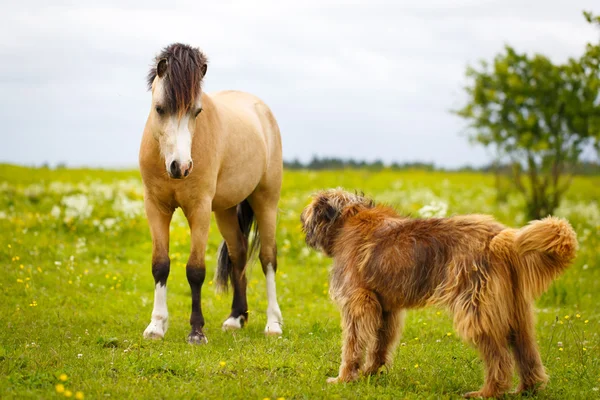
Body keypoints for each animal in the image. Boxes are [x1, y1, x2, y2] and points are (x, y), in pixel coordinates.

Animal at [138, 43, 284, 344]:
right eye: (160, 108)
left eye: (196, 112)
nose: (181, 167)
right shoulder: (155, 207)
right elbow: (160, 265)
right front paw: (156, 325)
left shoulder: (199, 209)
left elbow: (195, 271)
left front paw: (196, 331)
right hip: (226, 211)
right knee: (239, 254)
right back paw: (236, 318)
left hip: (266, 202)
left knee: (267, 258)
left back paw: (273, 324)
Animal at [302, 189, 580, 398]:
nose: (302, 221)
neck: (348, 219)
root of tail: (501, 238)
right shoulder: (386, 307)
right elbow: (381, 341)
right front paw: (371, 373)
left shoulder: (358, 301)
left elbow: (353, 341)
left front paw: (344, 378)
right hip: (516, 309)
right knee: (526, 350)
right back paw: (527, 389)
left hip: (475, 305)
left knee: (499, 356)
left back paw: (488, 392)